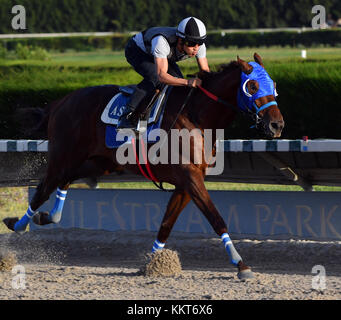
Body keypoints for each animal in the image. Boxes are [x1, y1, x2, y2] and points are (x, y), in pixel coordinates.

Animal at [3, 53, 284, 278]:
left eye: (274, 85)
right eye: (253, 85)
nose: (276, 125)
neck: (196, 116)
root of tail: (61, 102)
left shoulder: (186, 183)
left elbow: (165, 226)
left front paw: (151, 264)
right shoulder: (190, 177)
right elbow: (216, 219)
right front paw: (241, 265)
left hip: (102, 163)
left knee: (66, 180)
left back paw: (45, 217)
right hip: (64, 155)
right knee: (43, 189)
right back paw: (18, 225)